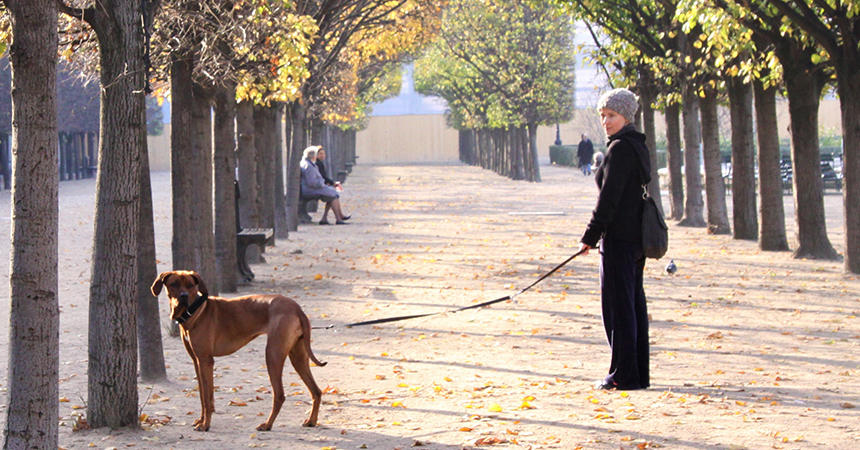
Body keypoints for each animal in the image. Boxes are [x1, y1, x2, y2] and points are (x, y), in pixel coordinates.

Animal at [151, 268, 326, 430]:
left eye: (190, 285)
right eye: (174, 284)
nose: (183, 296)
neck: (196, 311)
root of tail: (297, 308)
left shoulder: (205, 361)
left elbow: (207, 398)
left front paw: (205, 425)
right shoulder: (197, 361)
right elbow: (203, 395)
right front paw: (201, 420)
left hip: (273, 354)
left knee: (280, 395)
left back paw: (267, 424)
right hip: (298, 355)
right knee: (316, 391)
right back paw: (311, 421)